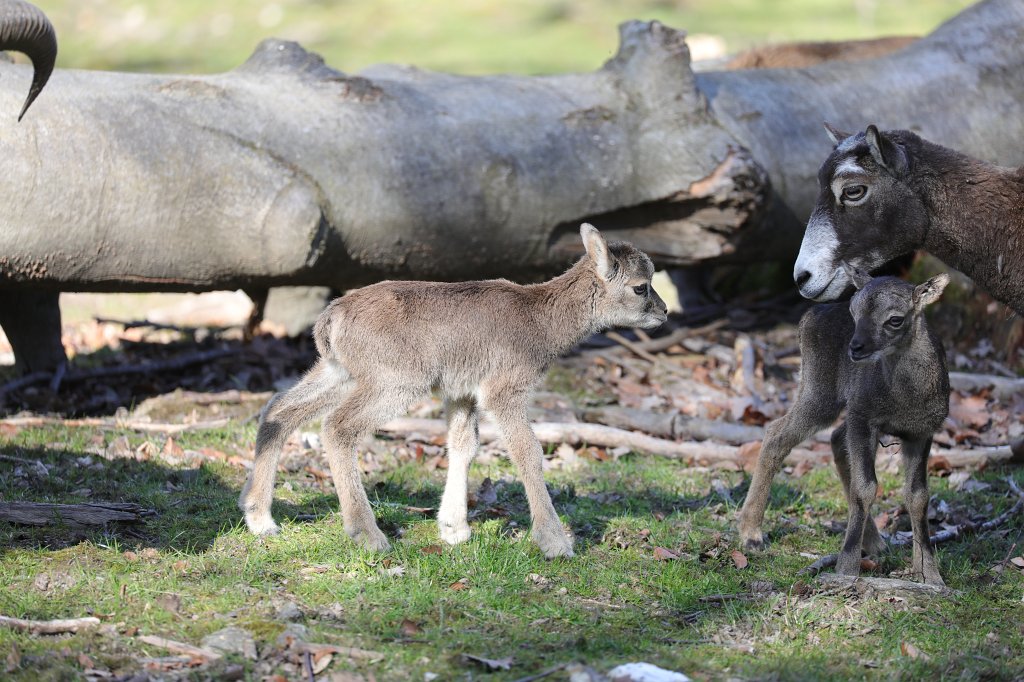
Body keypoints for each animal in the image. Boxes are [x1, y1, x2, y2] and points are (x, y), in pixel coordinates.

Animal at [239, 224, 667, 558]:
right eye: (641, 288)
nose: (664, 313)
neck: (541, 323)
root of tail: (331, 319)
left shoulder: (461, 391)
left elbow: (464, 444)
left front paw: (454, 529)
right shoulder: (504, 388)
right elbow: (528, 451)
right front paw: (555, 542)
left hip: (339, 371)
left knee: (278, 409)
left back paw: (260, 519)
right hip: (395, 380)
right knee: (336, 426)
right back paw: (368, 535)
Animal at [739, 265, 950, 585]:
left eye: (895, 319)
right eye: (854, 311)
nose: (856, 348)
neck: (906, 398)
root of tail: (808, 316)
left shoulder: (922, 431)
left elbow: (918, 496)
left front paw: (930, 574)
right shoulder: (864, 416)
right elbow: (865, 487)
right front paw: (846, 568)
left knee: (836, 438)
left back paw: (875, 543)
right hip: (820, 390)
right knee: (777, 433)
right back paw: (751, 534)